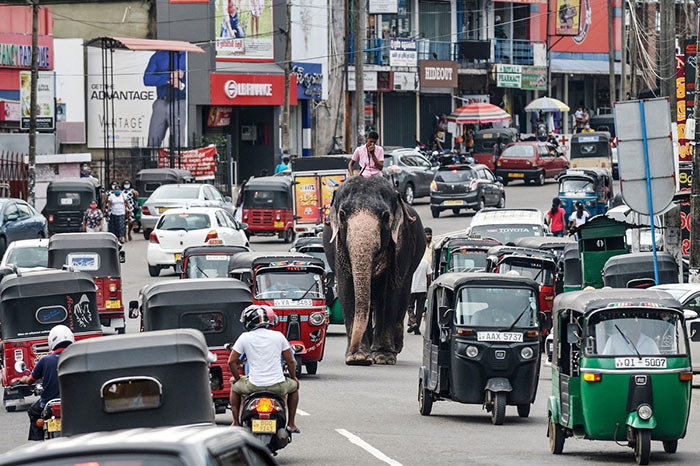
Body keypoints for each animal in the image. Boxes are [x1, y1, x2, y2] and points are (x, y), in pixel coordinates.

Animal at [322, 175, 426, 364]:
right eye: (342, 214)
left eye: (385, 216)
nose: (352, 349)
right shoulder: (338, 246)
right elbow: (347, 287)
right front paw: (358, 358)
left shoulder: (401, 242)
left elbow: (389, 291)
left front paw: (383, 357)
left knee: (402, 295)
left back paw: (394, 347)